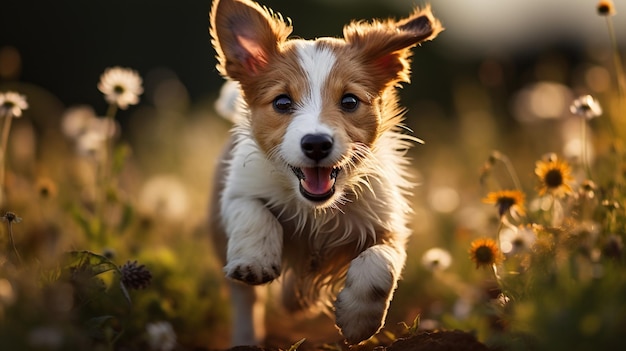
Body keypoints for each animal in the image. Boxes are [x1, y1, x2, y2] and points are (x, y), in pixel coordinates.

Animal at [207, 0, 442, 346]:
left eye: (349, 101)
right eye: (282, 102)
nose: (316, 143)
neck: (316, 211)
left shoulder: (388, 226)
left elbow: (380, 263)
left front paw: (358, 320)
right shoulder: (236, 191)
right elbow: (253, 211)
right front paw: (255, 260)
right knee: (245, 301)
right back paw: (246, 338)